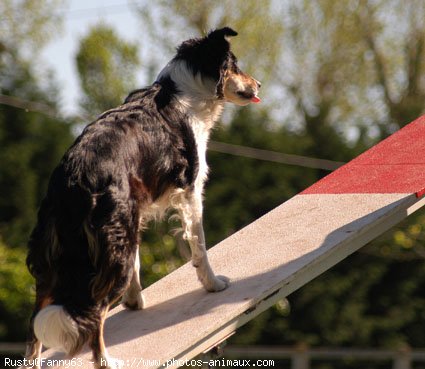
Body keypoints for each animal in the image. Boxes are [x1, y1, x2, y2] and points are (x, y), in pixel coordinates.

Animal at [24, 27, 262, 366]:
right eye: (235, 65)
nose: (259, 85)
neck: (185, 90)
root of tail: (73, 179)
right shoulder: (191, 191)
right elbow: (199, 246)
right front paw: (213, 284)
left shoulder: (137, 209)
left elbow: (138, 261)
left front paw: (135, 301)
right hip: (109, 248)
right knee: (94, 312)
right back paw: (106, 361)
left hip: (56, 253)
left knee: (36, 322)